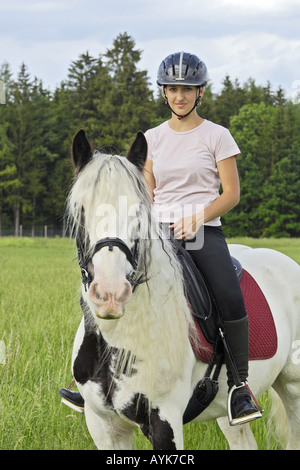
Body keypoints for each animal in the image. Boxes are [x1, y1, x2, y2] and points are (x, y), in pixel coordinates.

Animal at [65, 129, 300, 452]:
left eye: (139, 212)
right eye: (81, 210)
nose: (110, 294)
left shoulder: (165, 420)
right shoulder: (104, 427)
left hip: (294, 388)